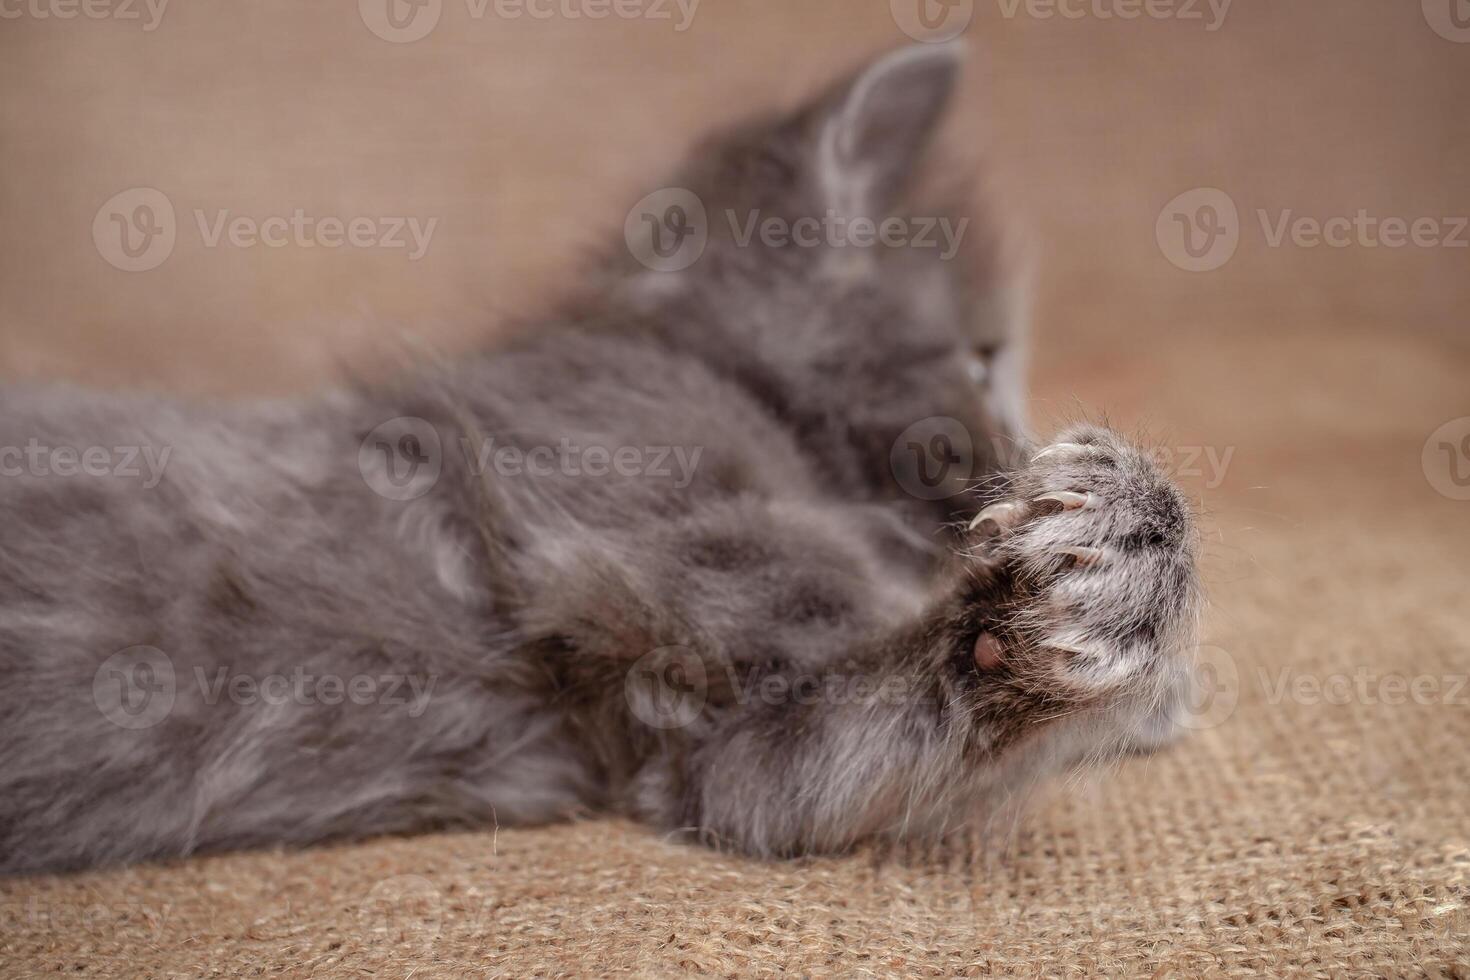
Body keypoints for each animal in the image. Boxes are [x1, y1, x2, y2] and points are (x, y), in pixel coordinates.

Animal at [0, 45, 1193, 875]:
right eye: (986, 356)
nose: (1019, 435)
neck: (698, 367)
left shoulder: (722, 750)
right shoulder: (640, 509)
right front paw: (1122, 558)